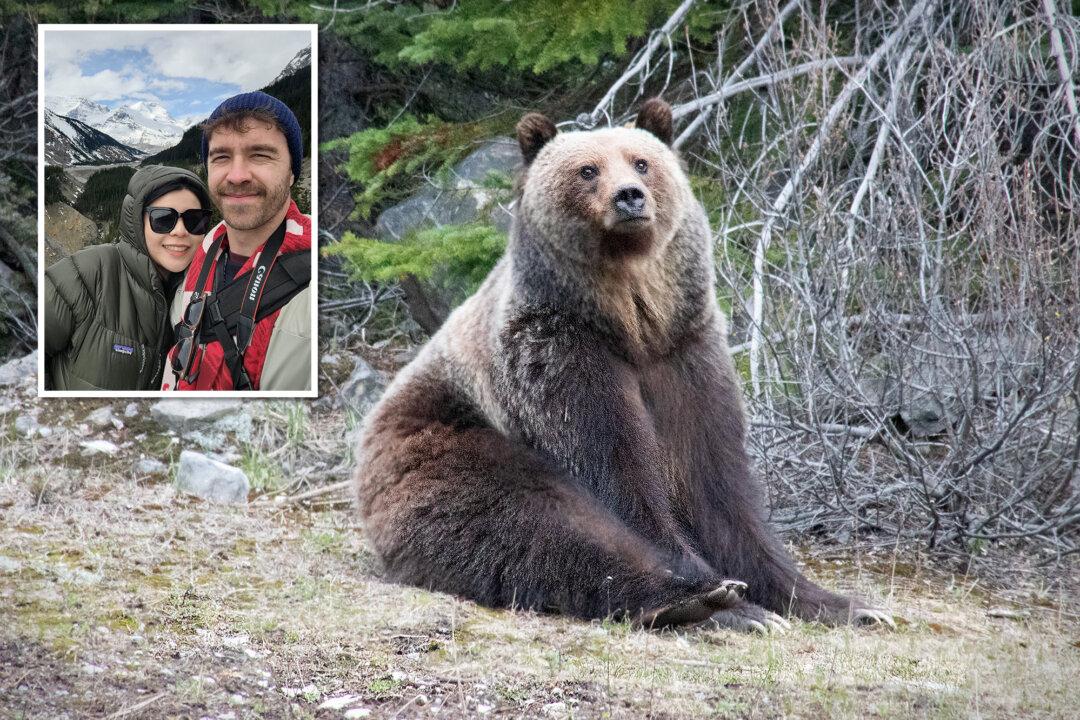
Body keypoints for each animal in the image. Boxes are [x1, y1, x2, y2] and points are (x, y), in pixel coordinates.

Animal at [353, 98, 893, 632]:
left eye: (642, 162)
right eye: (587, 169)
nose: (630, 197)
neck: (632, 321)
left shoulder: (684, 353)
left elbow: (716, 481)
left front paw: (838, 602)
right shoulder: (564, 354)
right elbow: (617, 472)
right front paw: (733, 600)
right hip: (443, 442)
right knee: (532, 520)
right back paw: (695, 600)